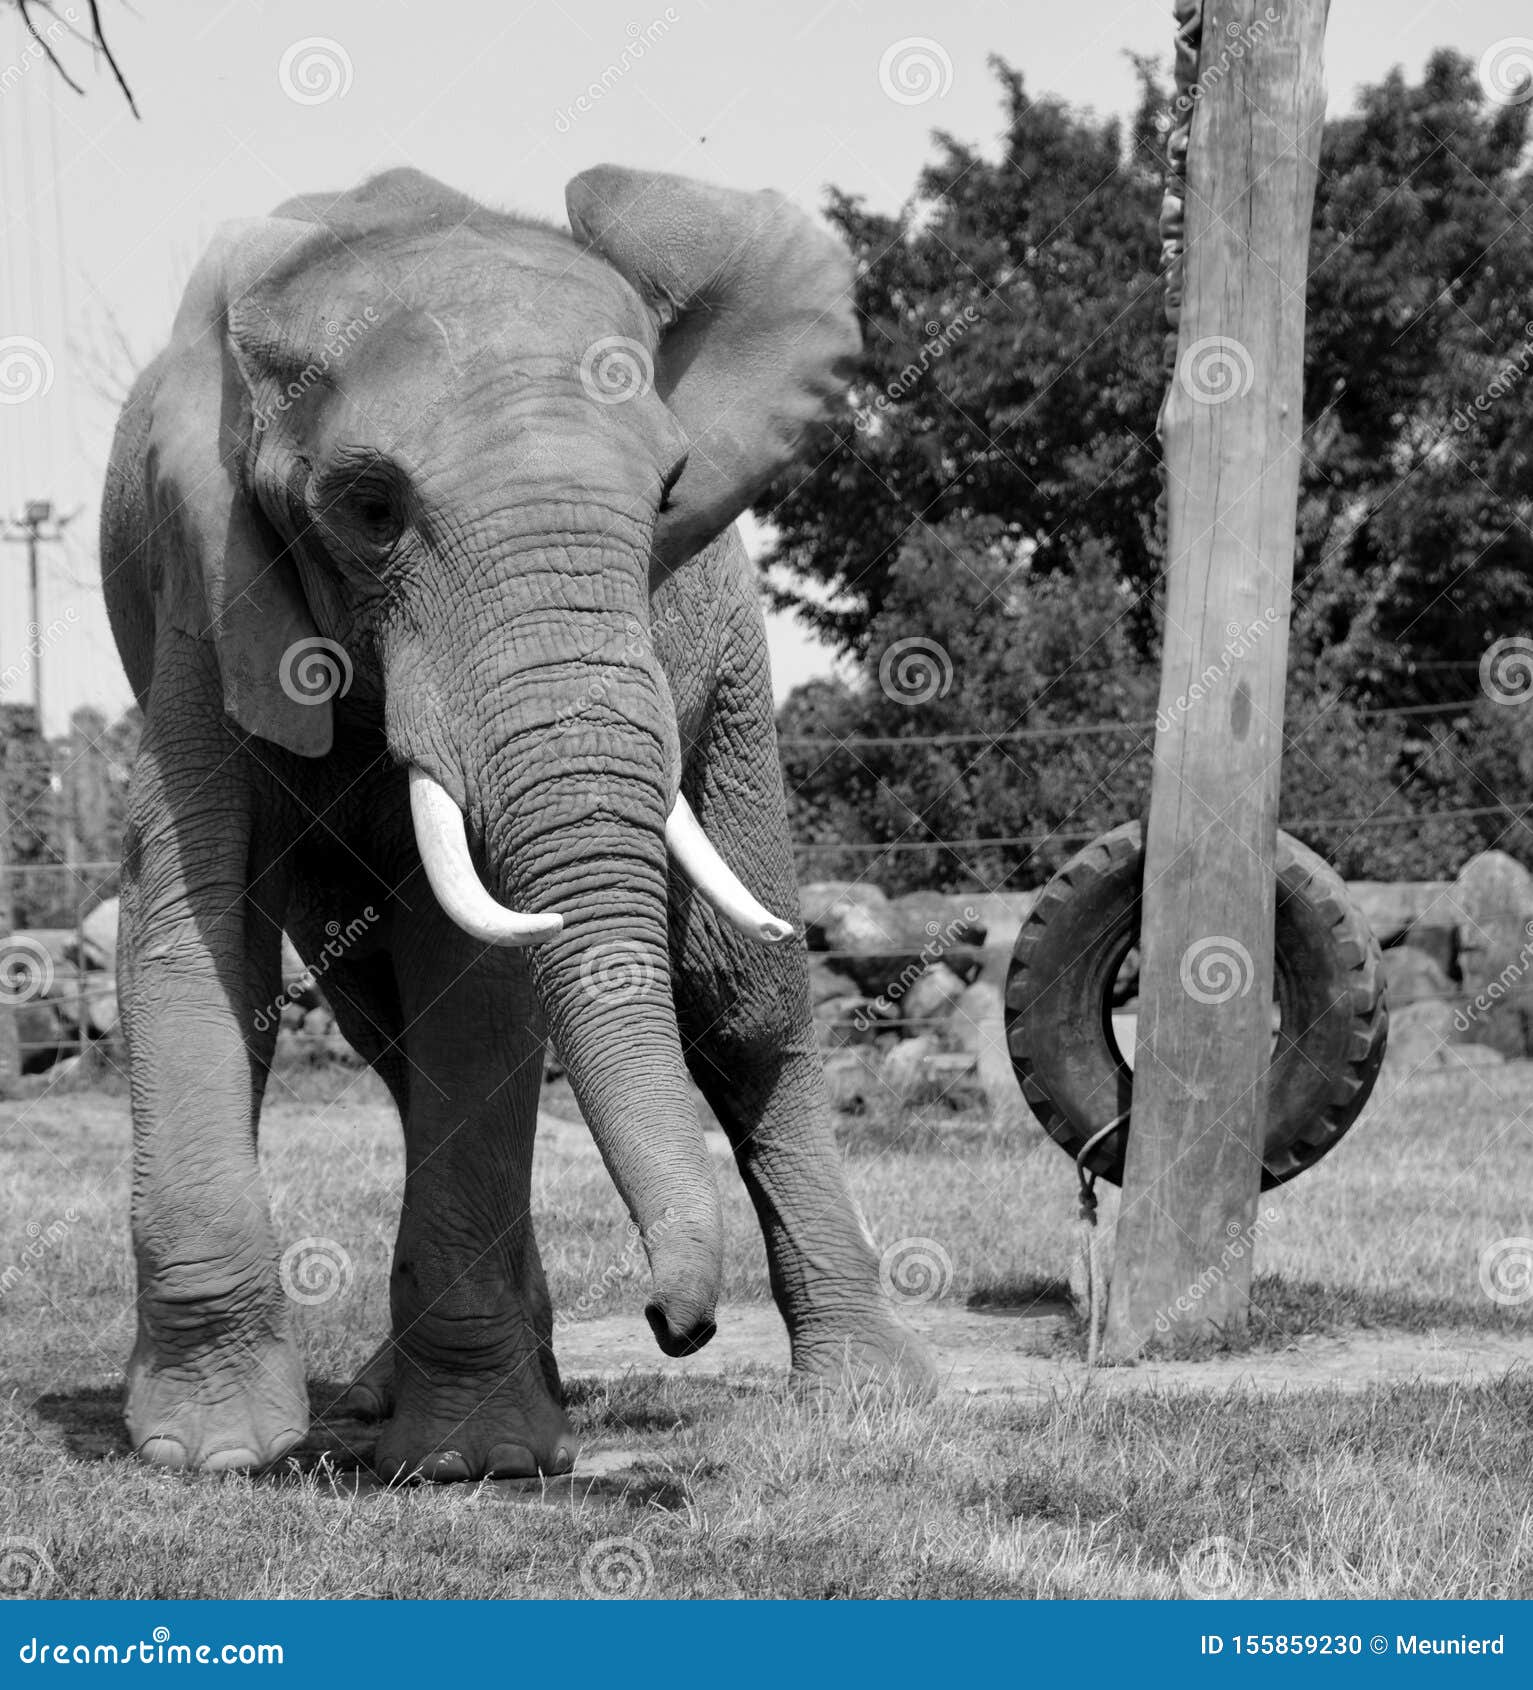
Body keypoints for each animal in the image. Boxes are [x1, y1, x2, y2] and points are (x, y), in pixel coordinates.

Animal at [101, 161, 939, 1480]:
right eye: (371, 508)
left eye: (667, 494)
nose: (674, 1325)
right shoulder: (208, 590)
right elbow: (193, 930)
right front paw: (213, 1451)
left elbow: (480, 975)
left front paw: (473, 1462)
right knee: (378, 1022)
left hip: (735, 679)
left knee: (746, 1013)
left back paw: (870, 1392)